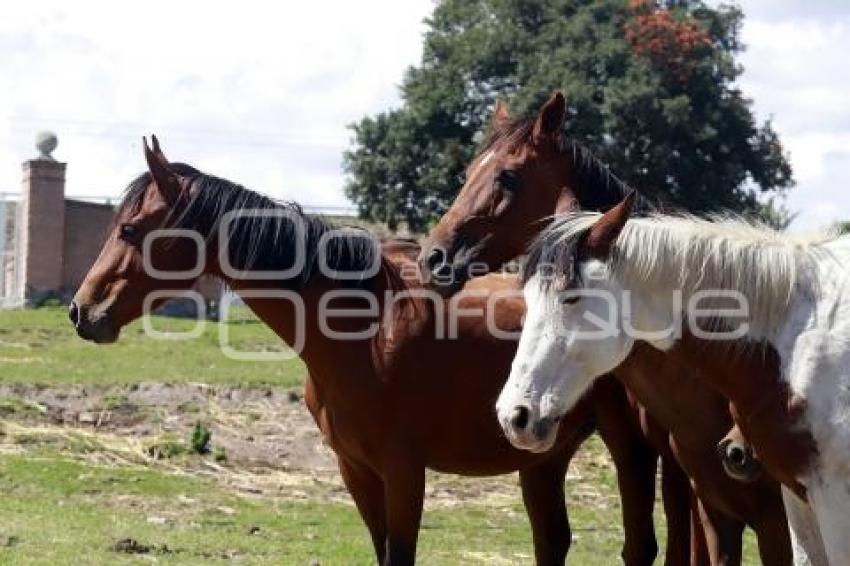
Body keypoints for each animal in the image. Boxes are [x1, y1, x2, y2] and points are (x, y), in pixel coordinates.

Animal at [69, 139, 660, 566]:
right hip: (541, 454)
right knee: (552, 542)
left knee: (639, 546)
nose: (81, 311)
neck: (366, 331)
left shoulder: (403, 473)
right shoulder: (356, 471)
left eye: (130, 229)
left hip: (629, 448)